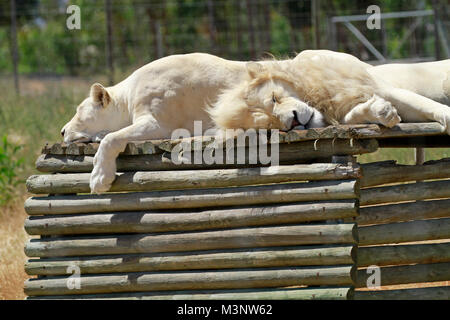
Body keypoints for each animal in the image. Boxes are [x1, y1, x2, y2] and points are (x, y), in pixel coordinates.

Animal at [60, 51, 450, 194]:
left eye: (79, 109)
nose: (62, 131)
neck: (127, 97)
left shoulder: (157, 121)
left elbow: (111, 138)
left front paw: (99, 177)